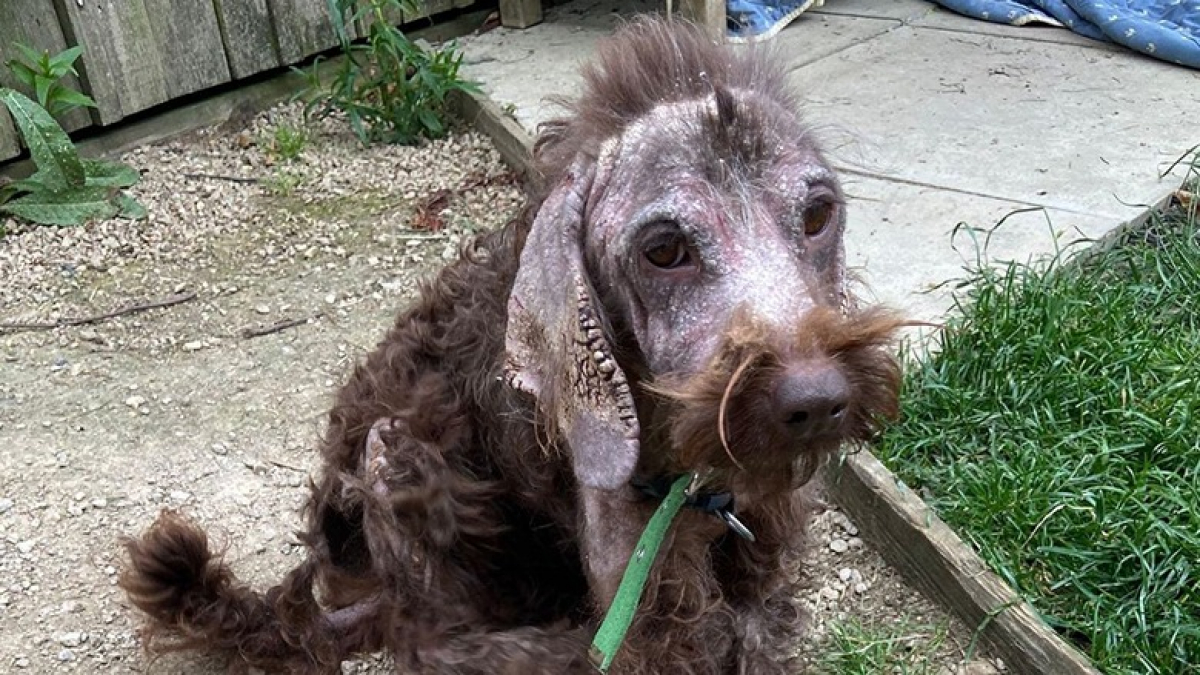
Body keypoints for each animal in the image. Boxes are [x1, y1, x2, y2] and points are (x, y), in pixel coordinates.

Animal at [119, 17, 902, 672]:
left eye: (818, 214)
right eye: (664, 249)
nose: (817, 401)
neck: (693, 475)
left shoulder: (761, 551)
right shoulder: (641, 589)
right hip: (395, 455)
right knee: (427, 637)